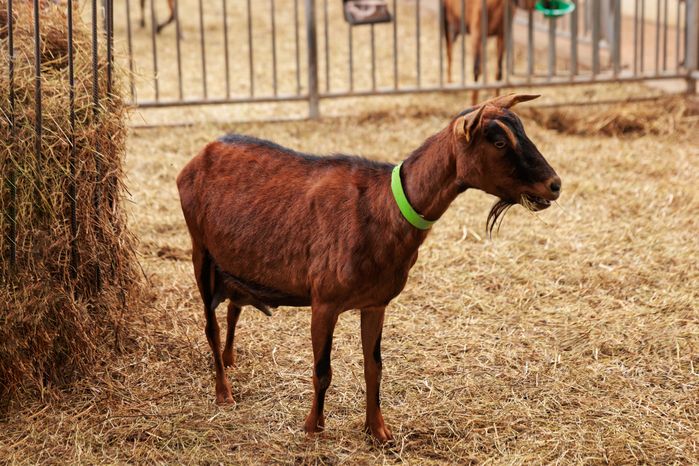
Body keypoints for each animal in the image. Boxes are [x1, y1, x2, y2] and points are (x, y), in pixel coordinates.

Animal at [176, 94, 561, 443]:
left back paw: (230, 360)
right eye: (499, 142)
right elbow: (322, 369)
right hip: (201, 251)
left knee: (233, 308)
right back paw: (223, 392)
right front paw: (313, 428)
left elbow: (374, 367)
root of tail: (197, 158)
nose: (554, 185)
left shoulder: (376, 302)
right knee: (210, 326)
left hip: (233, 264)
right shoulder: (324, 301)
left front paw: (378, 431)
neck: (383, 206)